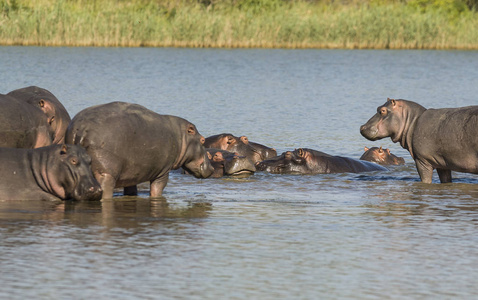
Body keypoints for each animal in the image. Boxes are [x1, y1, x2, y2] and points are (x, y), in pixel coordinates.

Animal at [64, 102, 214, 198]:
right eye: (202, 140)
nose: (212, 168)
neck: (180, 137)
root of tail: (80, 129)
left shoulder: (132, 174)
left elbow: (131, 190)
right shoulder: (163, 172)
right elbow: (156, 190)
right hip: (106, 174)